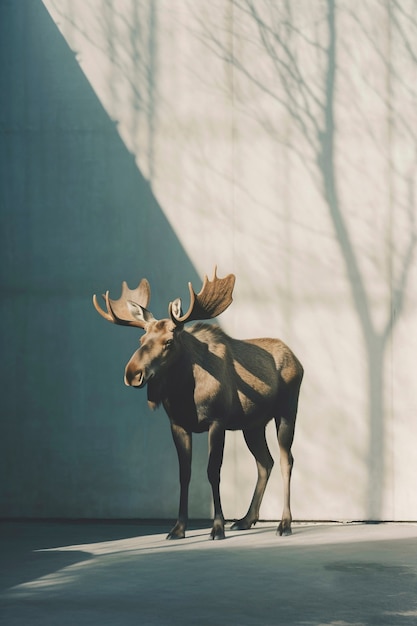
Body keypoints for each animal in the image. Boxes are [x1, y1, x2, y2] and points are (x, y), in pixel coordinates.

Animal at [93, 266, 302, 536]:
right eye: (141, 340)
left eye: (168, 342)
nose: (132, 373)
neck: (185, 394)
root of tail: (298, 361)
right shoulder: (178, 424)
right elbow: (185, 474)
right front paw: (178, 528)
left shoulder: (217, 421)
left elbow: (213, 471)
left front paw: (217, 527)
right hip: (253, 425)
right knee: (265, 462)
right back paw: (245, 519)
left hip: (287, 411)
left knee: (287, 460)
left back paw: (284, 524)